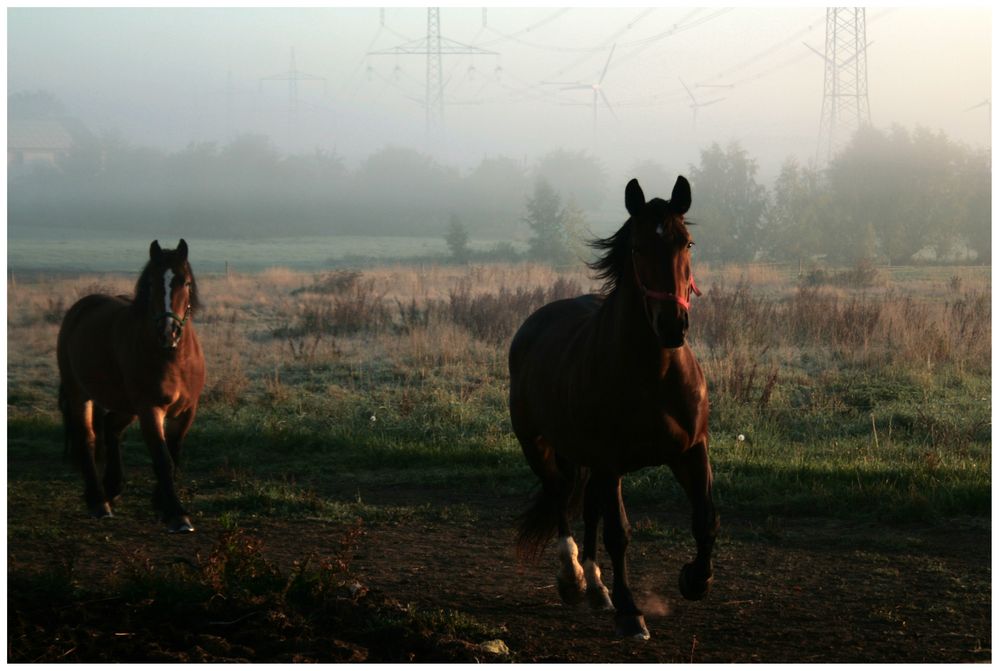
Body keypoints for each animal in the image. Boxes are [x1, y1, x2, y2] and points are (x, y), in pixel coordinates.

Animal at [56, 242, 205, 536]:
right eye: (151, 282)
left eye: (185, 282)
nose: (168, 332)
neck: (173, 358)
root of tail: (81, 307)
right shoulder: (150, 409)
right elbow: (163, 459)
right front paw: (176, 514)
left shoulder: (186, 411)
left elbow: (174, 452)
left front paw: (160, 503)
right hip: (80, 394)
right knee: (87, 437)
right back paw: (98, 501)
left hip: (125, 405)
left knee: (110, 427)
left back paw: (112, 487)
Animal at [508, 176, 720, 636]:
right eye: (638, 247)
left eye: (687, 243)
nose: (672, 325)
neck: (654, 375)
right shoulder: (610, 461)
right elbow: (619, 533)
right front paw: (630, 611)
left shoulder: (691, 451)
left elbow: (705, 519)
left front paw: (695, 580)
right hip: (538, 445)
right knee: (560, 496)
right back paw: (573, 580)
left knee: (587, 508)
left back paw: (595, 587)